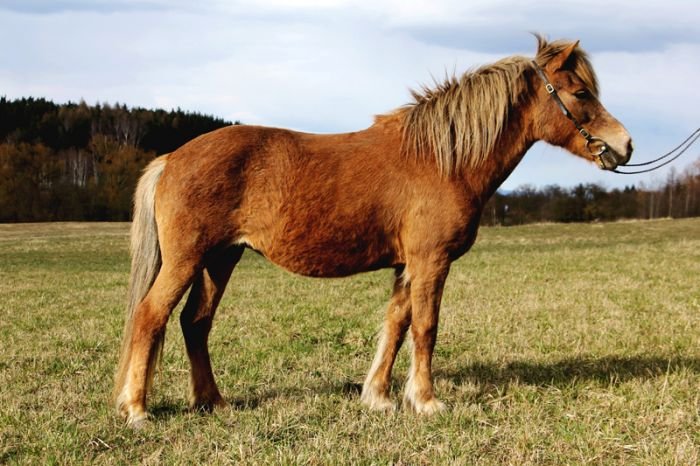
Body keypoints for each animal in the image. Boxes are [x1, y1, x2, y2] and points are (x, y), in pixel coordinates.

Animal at [113, 35, 636, 426]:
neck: (441, 159)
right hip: (187, 259)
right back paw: (137, 409)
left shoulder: (408, 265)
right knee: (151, 316)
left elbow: (396, 325)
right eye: (581, 94)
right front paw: (426, 400)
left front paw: (380, 397)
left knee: (195, 323)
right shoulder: (430, 262)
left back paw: (212, 402)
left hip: (221, 259)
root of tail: (171, 158)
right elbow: (425, 327)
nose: (625, 145)